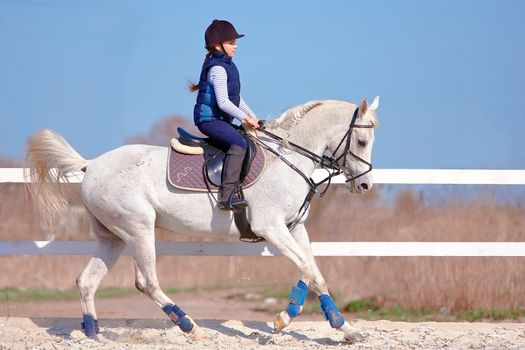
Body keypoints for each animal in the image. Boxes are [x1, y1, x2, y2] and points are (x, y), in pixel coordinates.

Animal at [25, 96, 376, 342]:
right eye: (361, 141)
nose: (365, 186)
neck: (288, 158)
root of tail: (91, 165)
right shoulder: (271, 228)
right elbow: (307, 268)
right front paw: (295, 320)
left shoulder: (295, 228)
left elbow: (312, 271)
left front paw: (339, 327)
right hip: (138, 230)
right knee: (146, 282)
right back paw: (190, 327)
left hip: (112, 238)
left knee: (87, 281)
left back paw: (93, 334)